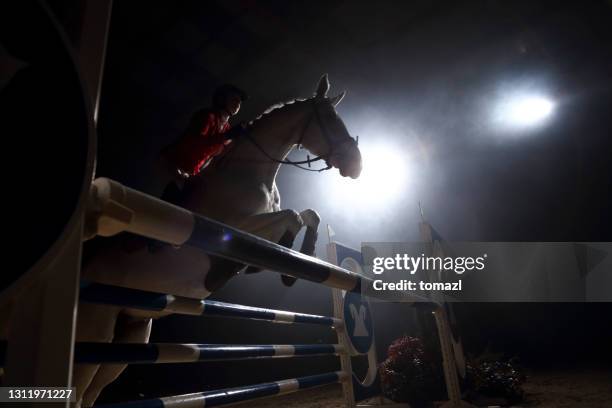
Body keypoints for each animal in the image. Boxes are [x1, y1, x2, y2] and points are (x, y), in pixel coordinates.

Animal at [74, 75, 360, 404]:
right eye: (330, 119)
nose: (357, 165)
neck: (250, 172)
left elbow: (309, 214)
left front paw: (298, 259)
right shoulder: (236, 232)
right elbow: (293, 217)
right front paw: (280, 268)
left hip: (129, 334)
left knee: (93, 390)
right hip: (96, 330)